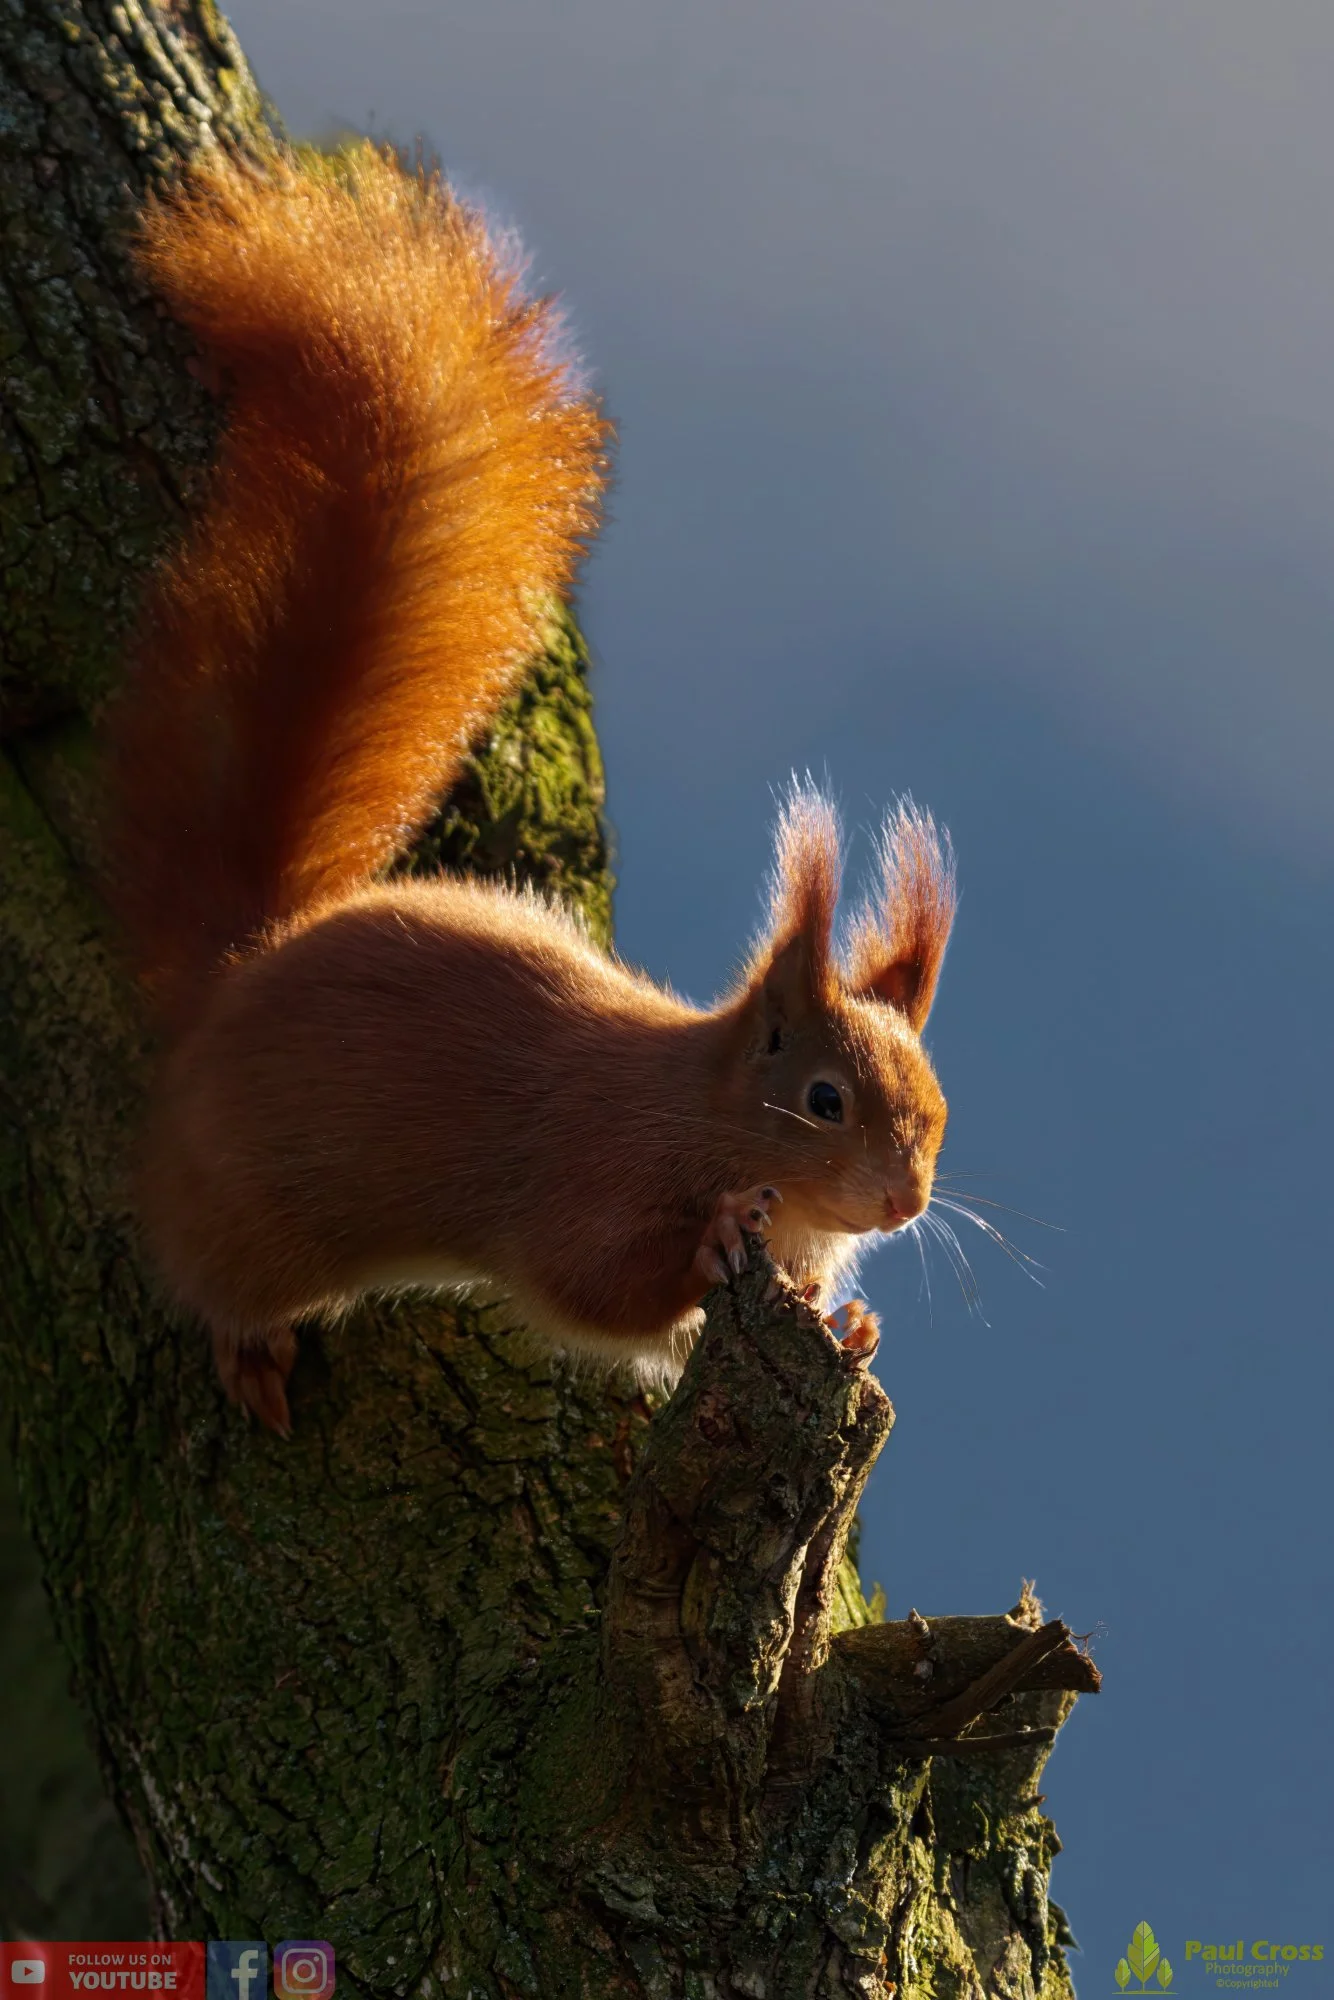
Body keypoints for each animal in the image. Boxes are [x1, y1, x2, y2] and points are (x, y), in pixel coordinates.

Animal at [106, 144, 956, 1437]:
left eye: (937, 1106)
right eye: (822, 1099)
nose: (904, 1204)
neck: (696, 1101)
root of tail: (236, 971)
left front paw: (849, 1319)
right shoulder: (590, 1171)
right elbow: (594, 1281)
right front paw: (716, 1236)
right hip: (241, 1210)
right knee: (206, 1267)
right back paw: (246, 1345)